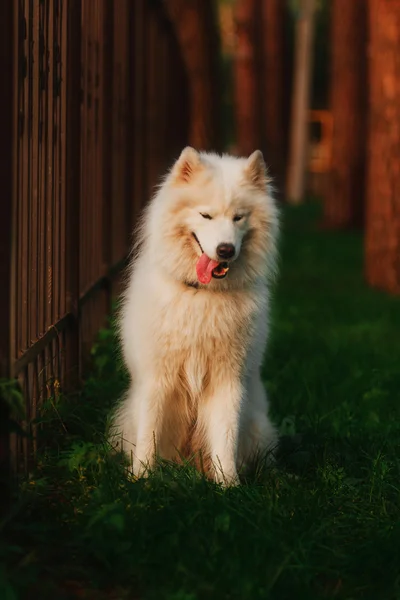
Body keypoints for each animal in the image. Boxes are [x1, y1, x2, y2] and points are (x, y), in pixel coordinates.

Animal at [109, 146, 278, 488]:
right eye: (206, 216)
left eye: (238, 217)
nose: (225, 250)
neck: (203, 296)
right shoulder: (157, 378)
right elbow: (149, 435)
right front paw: (141, 479)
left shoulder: (227, 380)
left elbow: (225, 437)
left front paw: (229, 485)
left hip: (257, 426)